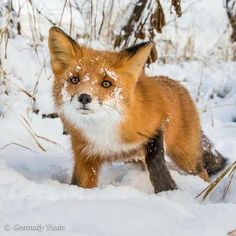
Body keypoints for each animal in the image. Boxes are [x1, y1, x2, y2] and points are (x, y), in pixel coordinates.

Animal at [48, 26, 227, 189]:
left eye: (106, 83)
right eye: (74, 79)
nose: (84, 97)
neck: (105, 130)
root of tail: (177, 84)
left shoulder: (157, 127)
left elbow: (156, 163)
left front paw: (167, 190)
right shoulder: (85, 157)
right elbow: (81, 184)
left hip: (186, 157)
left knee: (201, 171)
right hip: (136, 157)